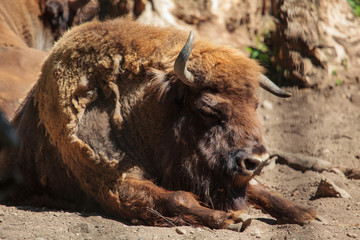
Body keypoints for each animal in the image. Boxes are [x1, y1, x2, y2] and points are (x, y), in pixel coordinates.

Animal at [1, 19, 318, 231]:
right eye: (208, 109)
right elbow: (178, 199)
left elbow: (260, 189)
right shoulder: (113, 184)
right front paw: (234, 218)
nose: (256, 161)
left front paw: (306, 213)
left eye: (255, 105)